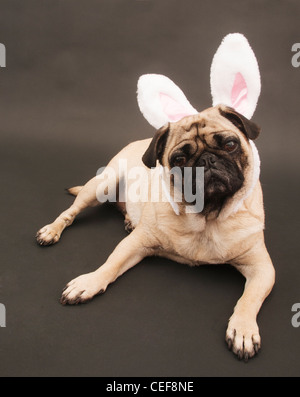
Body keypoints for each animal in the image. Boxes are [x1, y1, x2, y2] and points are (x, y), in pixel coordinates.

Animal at [34, 35, 274, 360]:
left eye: (230, 144)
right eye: (179, 159)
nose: (206, 160)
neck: (207, 218)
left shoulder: (261, 267)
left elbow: (249, 299)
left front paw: (244, 329)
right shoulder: (136, 245)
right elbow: (109, 265)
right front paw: (89, 282)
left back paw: (128, 220)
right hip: (101, 185)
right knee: (69, 213)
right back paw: (52, 230)